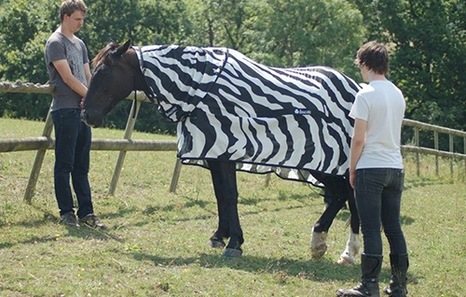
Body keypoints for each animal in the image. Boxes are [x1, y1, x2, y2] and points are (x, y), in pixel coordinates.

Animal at [82, 40, 360, 262]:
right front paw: (220, 236)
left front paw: (235, 243)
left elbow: (230, 194)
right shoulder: (214, 153)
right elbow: (220, 195)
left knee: (345, 195)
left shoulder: (226, 149)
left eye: (103, 72)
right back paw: (332, 246)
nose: (86, 115)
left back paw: (337, 247)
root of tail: (354, 88)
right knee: (343, 195)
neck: (201, 90)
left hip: (328, 161)